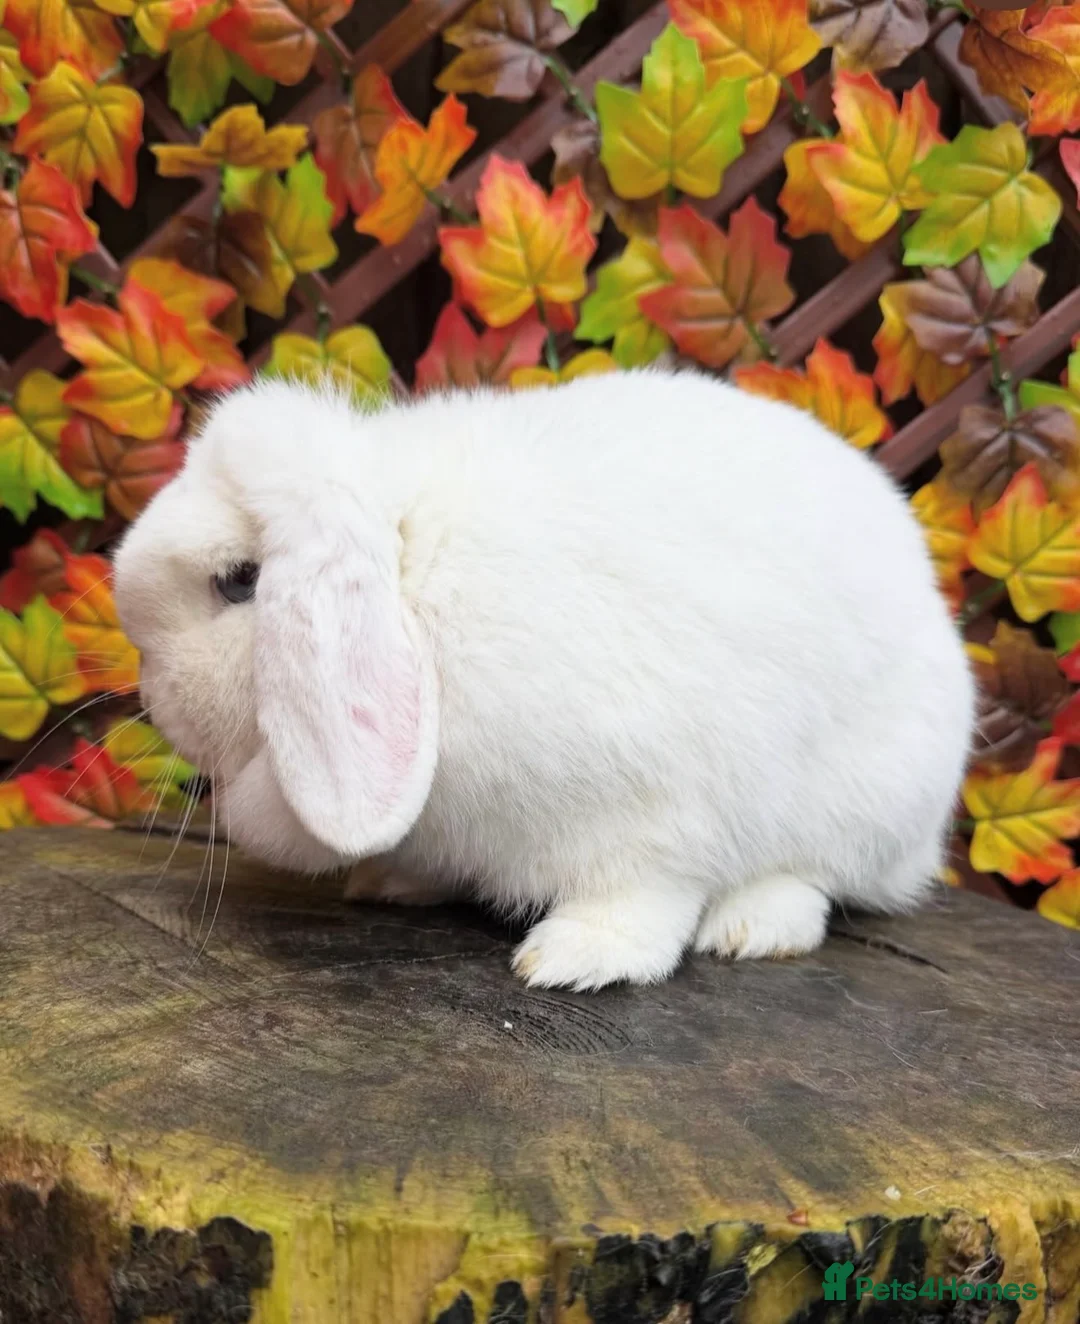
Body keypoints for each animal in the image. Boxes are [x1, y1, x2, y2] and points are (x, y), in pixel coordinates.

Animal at [112, 369, 975, 992]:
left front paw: (571, 959)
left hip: (866, 802)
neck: (416, 589)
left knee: (818, 878)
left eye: (239, 581)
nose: (151, 697)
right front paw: (390, 879)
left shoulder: (652, 816)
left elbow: (641, 900)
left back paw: (751, 928)